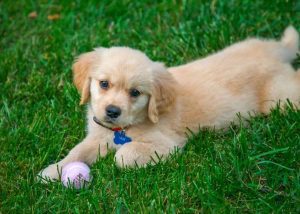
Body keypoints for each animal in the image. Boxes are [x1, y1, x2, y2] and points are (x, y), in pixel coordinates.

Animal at [38, 25, 298, 181]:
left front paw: (120, 154)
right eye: (104, 84)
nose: (112, 111)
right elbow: (77, 151)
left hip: (280, 98)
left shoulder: (167, 144)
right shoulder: (97, 137)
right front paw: (53, 170)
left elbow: (123, 156)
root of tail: (275, 52)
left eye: (135, 92)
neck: (123, 128)